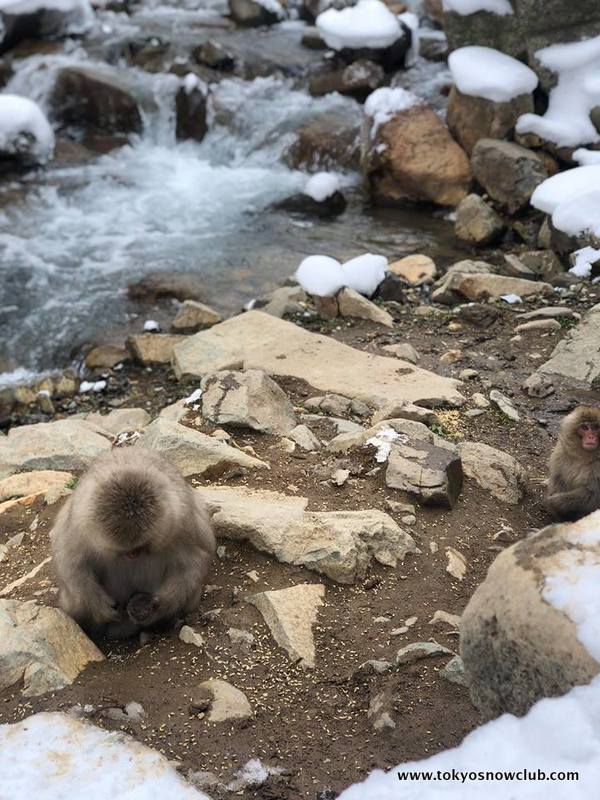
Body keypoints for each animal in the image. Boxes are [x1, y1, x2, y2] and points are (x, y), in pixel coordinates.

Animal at [50, 447, 215, 639]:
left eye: (141, 546)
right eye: (126, 550)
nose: (132, 555)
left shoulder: (184, 521)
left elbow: (194, 562)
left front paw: (159, 605)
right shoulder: (79, 524)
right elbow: (70, 563)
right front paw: (98, 605)